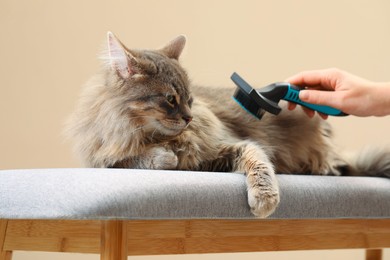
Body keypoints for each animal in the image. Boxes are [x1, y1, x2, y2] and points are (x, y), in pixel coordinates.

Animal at [65, 33, 388, 219]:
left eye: (190, 99)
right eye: (170, 99)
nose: (188, 118)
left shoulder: (233, 145)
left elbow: (259, 165)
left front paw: (264, 200)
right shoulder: (105, 160)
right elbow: (140, 159)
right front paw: (164, 156)